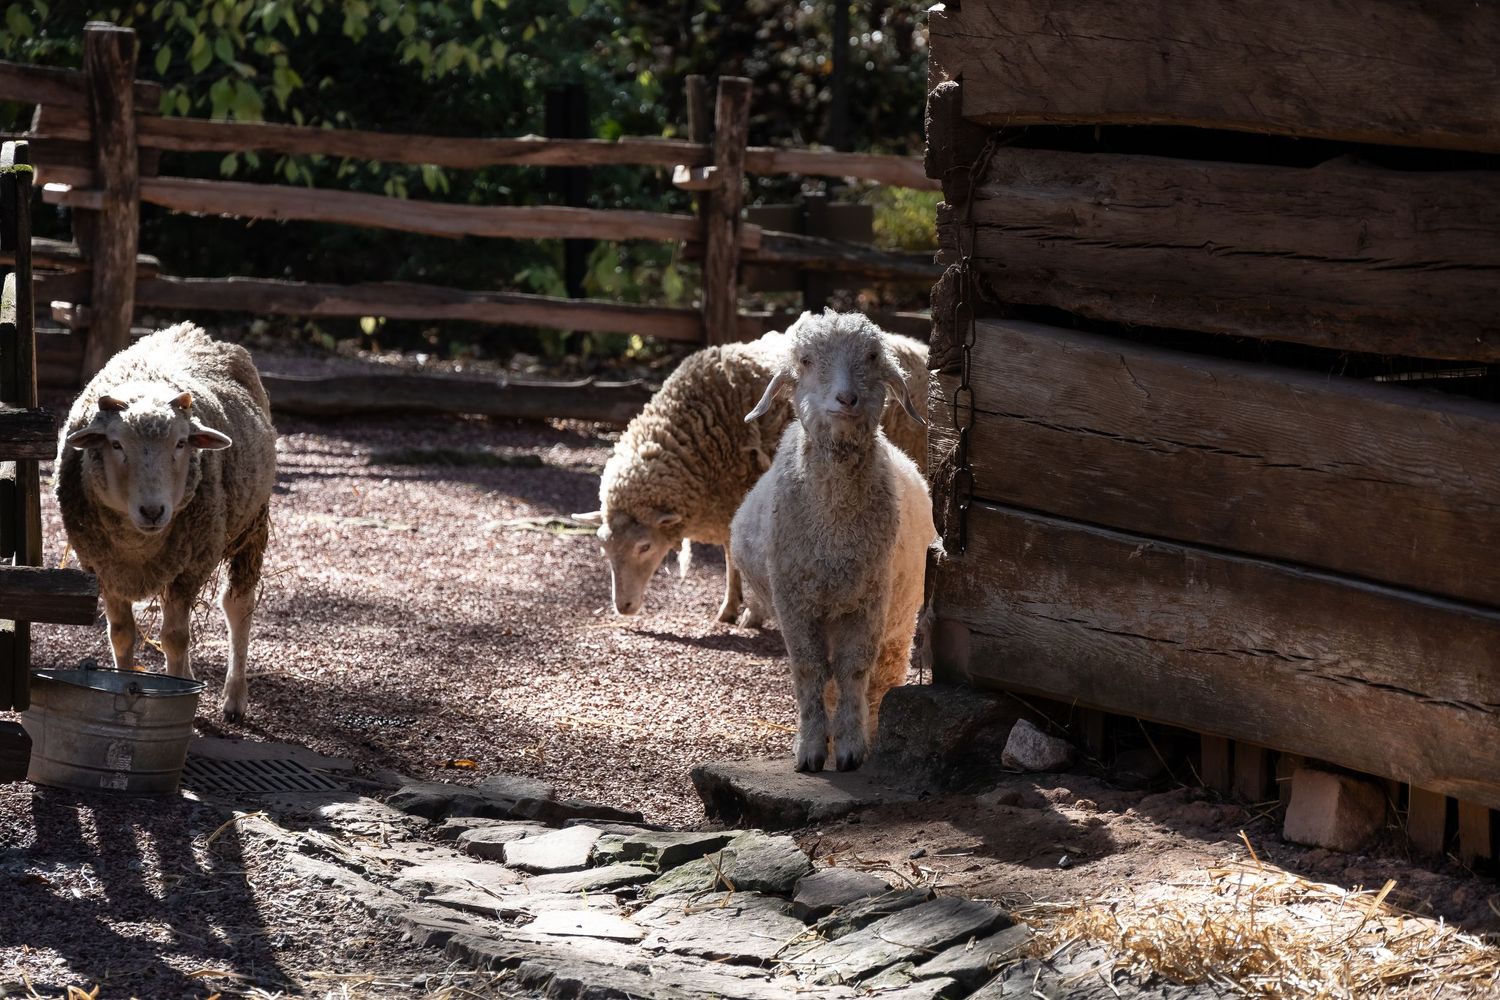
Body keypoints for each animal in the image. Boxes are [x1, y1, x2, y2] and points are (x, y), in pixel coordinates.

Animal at [55, 322, 277, 723]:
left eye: (181, 444)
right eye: (115, 444)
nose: (153, 511)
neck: (137, 545)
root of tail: (188, 329)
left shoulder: (190, 567)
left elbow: (175, 638)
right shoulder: (103, 566)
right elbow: (121, 634)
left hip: (252, 523)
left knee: (238, 605)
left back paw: (234, 698)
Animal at [575, 327, 928, 623]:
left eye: (644, 547)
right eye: (604, 547)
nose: (623, 607)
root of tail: (916, 346)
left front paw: (753, 612)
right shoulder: (728, 503)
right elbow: (732, 556)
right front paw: (730, 607)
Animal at [729, 310, 936, 772]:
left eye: (873, 357)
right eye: (806, 361)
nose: (846, 399)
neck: (834, 531)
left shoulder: (868, 601)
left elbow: (853, 672)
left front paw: (851, 747)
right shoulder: (795, 604)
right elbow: (809, 672)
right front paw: (810, 749)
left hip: (899, 619)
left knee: (881, 677)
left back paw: (869, 730)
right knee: (824, 678)